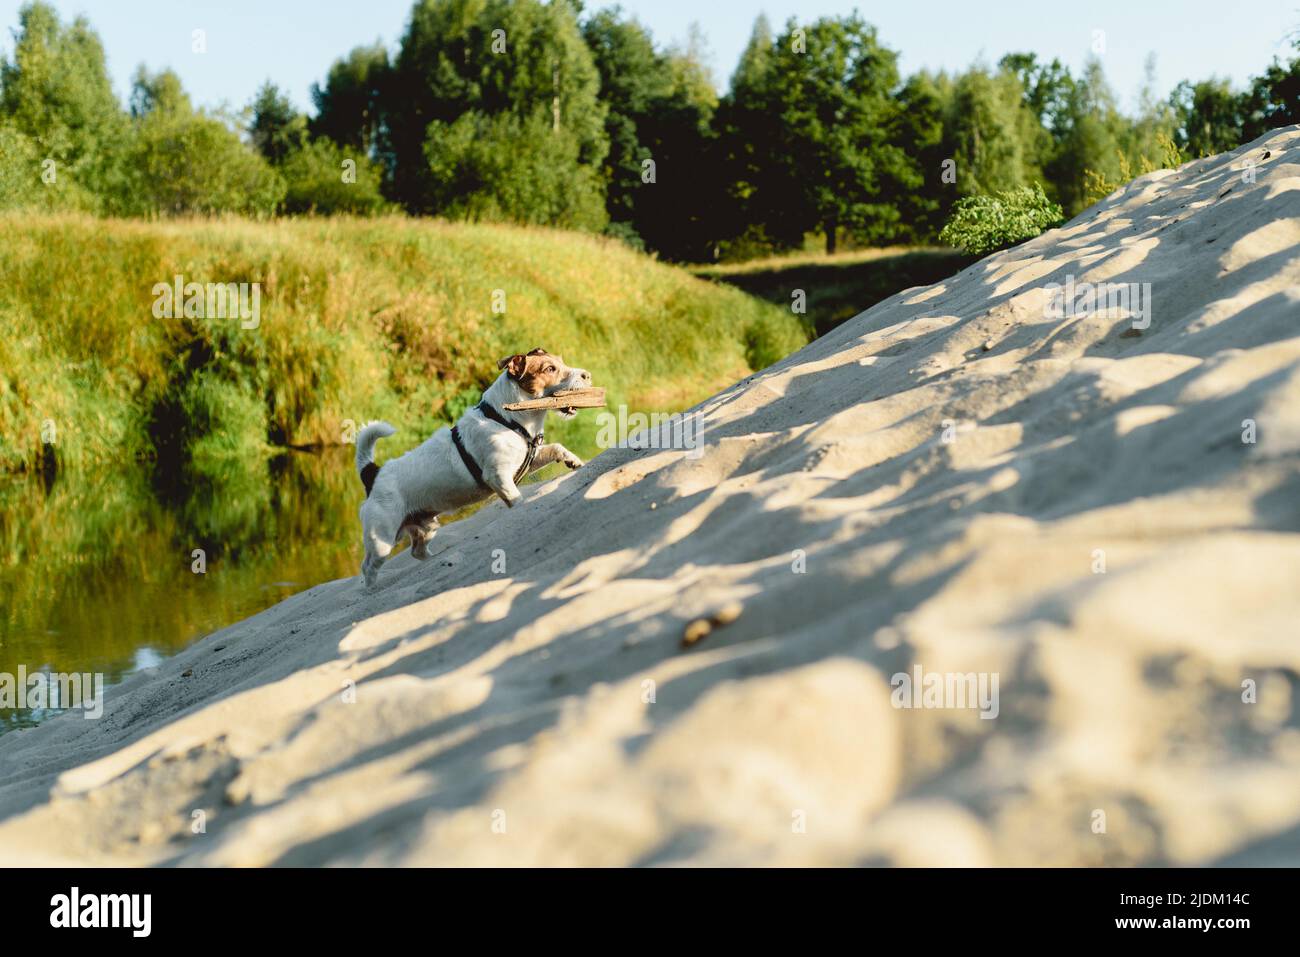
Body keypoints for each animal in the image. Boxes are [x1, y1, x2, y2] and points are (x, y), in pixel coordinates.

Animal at [358, 348, 595, 587]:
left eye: (561, 361)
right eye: (550, 369)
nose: (587, 375)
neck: (505, 419)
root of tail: (374, 473)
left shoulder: (526, 461)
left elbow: (556, 447)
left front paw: (572, 460)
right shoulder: (498, 476)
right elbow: (517, 499)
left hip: (426, 526)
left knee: (417, 551)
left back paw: (435, 561)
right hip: (382, 538)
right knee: (368, 567)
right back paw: (372, 589)